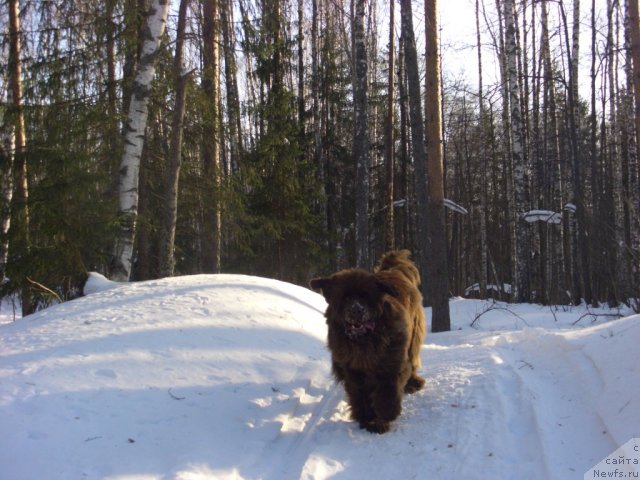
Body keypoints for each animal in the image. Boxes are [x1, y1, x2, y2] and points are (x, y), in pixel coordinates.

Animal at [310, 249, 424, 434]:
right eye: (345, 298)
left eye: (365, 296)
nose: (356, 310)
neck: (364, 341)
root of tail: (392, 269)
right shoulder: (353, 369)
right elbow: (360, 394)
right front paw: (366, 418)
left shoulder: (391, 363)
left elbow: (387, 391)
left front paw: (384, 417)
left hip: (413, 338)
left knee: (412, 361)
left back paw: (413, 383)